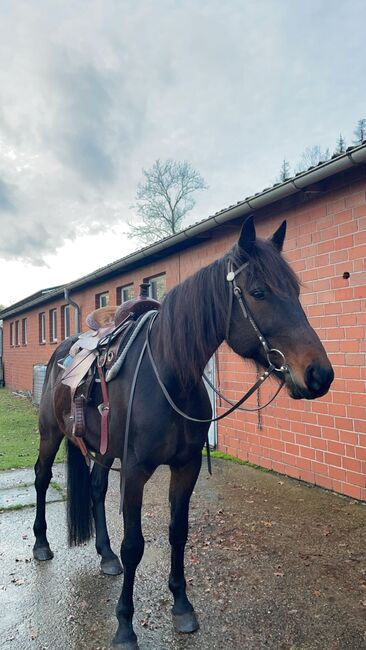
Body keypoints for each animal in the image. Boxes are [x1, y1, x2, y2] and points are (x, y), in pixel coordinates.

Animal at [32, 215, 334, 644]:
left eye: (295, 290)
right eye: (258, 292)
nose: (319, 374)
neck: (170, 375)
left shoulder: (186, 466)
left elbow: (178, 532)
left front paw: (181, 605)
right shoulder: (136, 471)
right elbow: (135, 544)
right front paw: (124, 625)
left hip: (104, 451)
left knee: (95, 488)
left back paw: (105, 556)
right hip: (50, 434)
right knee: (42, 478)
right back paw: (42, 545)